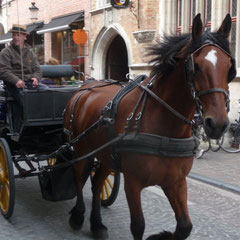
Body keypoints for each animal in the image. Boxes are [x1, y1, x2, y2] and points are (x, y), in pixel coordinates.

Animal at [63, 14, 236, 240]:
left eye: (230, 67)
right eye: (195, 66)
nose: (218, 124)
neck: (165, 126)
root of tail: (84, 87)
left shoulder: (176, 182)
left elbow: (185, 226)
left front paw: (160, 235)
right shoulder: (133, 182)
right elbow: (138, 226)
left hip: (107, 155)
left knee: (97, 182)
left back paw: (97, 224)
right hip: (81, 150)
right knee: (77, 177)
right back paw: (78, 215)